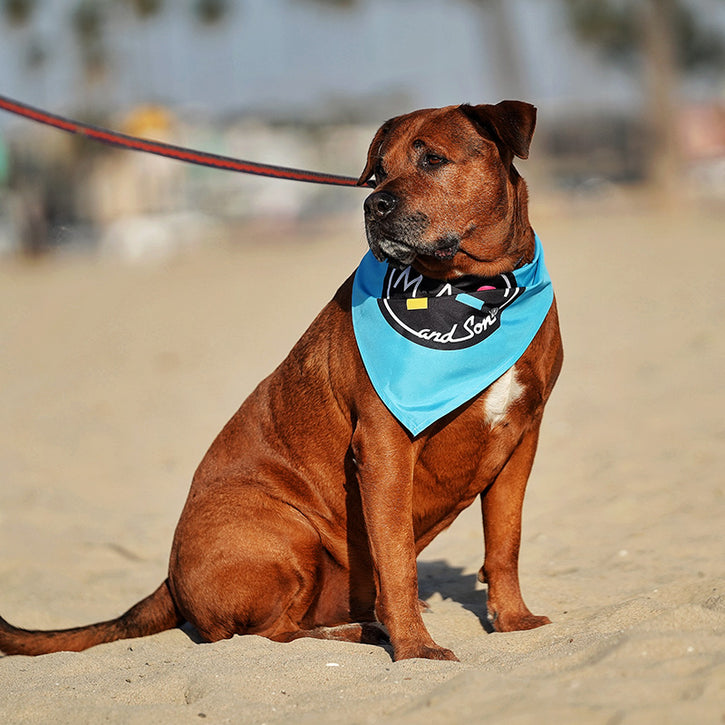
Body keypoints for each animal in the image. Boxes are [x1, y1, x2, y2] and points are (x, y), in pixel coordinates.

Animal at [0, 102, 560, 660]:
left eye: (433, 160)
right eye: (377, 172)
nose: (374, 205)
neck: (473, 290)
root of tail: (169, 580)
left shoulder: (521, 440)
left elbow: (504, 542)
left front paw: (513, 620)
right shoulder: (385, 447)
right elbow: (398, 560)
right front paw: (416, 649)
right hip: (290, 532)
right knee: (268, 633)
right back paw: (361, 632)